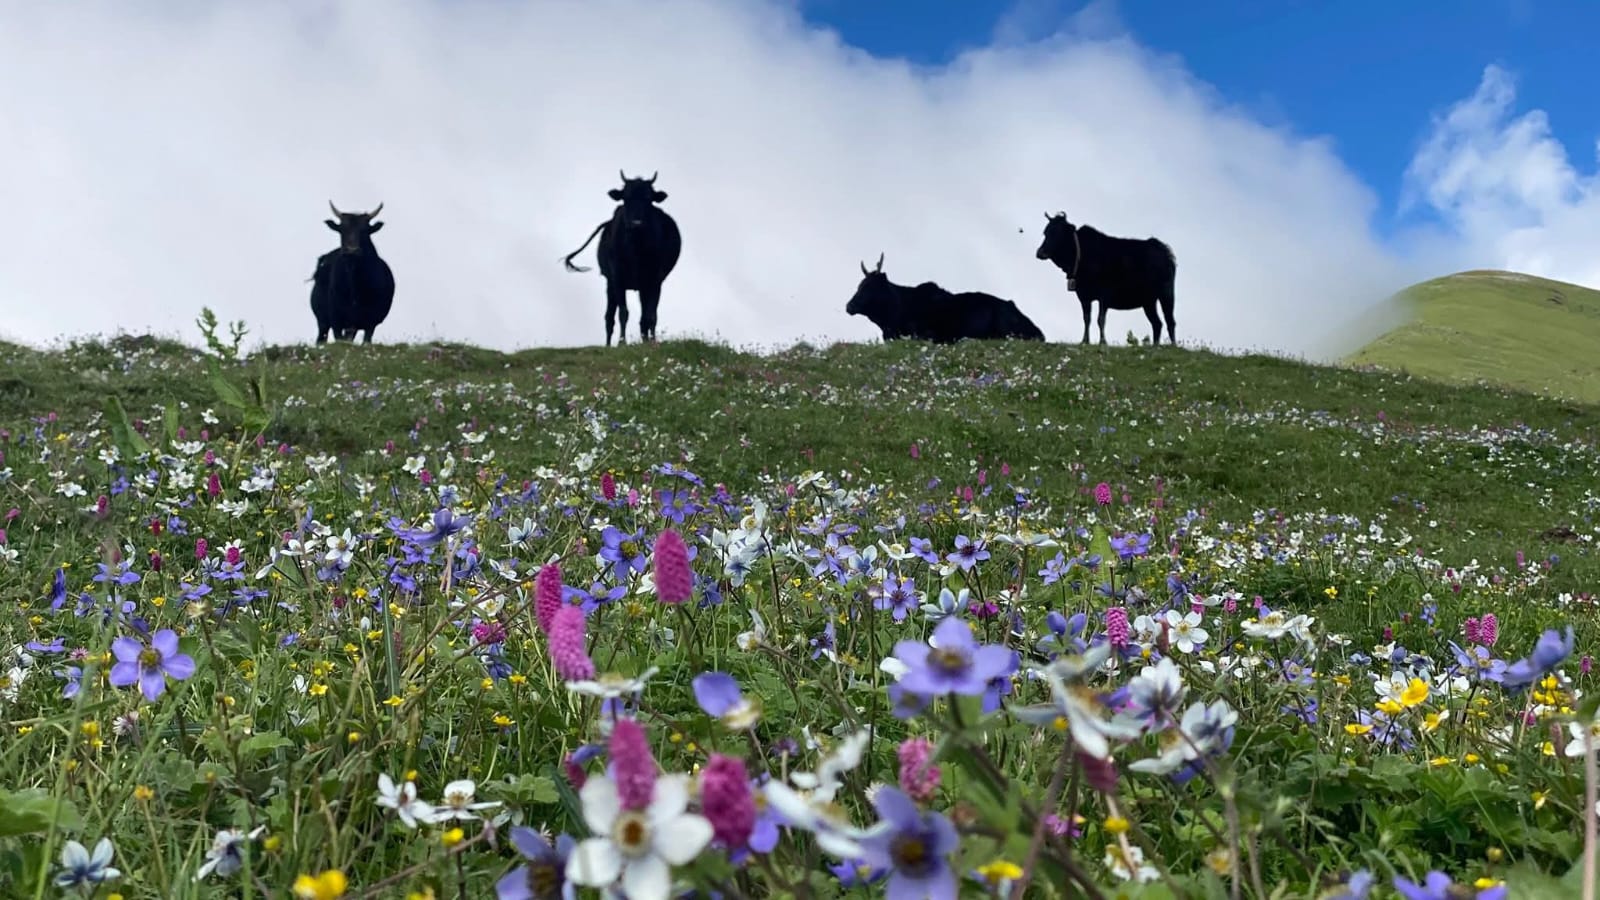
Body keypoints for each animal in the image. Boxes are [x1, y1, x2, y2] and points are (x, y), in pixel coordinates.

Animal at [309, 201, 396, 345]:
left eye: (365, 230)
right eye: (341, 229)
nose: (352, 250)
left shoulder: (371, 320)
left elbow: (366, 340)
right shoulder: (336, 318)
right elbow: (339, 339)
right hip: (323, 321)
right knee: (322, 337)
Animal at [561, 171, 682, 346]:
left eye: (649, 199)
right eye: (626, 197)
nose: (636, 223)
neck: (636, 249)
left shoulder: (655, 280)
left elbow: (651, 314)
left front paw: (653, 342)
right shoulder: (617, 277)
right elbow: (623, 312)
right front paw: (622, 342)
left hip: (643, 286)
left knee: (643, 316)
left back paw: (645, 340)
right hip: (610, 283)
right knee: (609, 317)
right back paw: (608, 345)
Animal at [1035, 212, 1177, 346]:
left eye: (1058, 233)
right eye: (1046, 232)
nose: (1039, 252)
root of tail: (1164, 251)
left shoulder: (1104, 295)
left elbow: (1100, 319)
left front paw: (1103, 342)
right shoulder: (1083, 296)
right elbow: (1087, 318)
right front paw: (1085, 341)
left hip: (1166, 293)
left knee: (1170, 321)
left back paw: (1173, 345)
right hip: (1148, 301)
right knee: (1157, 323)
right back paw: (1155, 346)